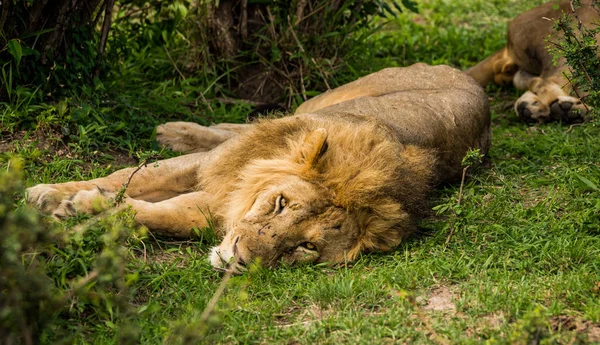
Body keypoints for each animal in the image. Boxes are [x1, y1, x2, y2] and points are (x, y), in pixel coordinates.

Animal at [25, 62, 490, 272]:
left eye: (306, 247)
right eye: (280, 203)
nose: (240, 259)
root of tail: (467, 76)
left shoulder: (215, 205)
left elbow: (159, 215)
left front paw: (86, 208)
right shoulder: (210, 168)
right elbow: (126, 177)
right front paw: (50, 193)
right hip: (327, 98)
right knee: (249, 123)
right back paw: (173, 130)